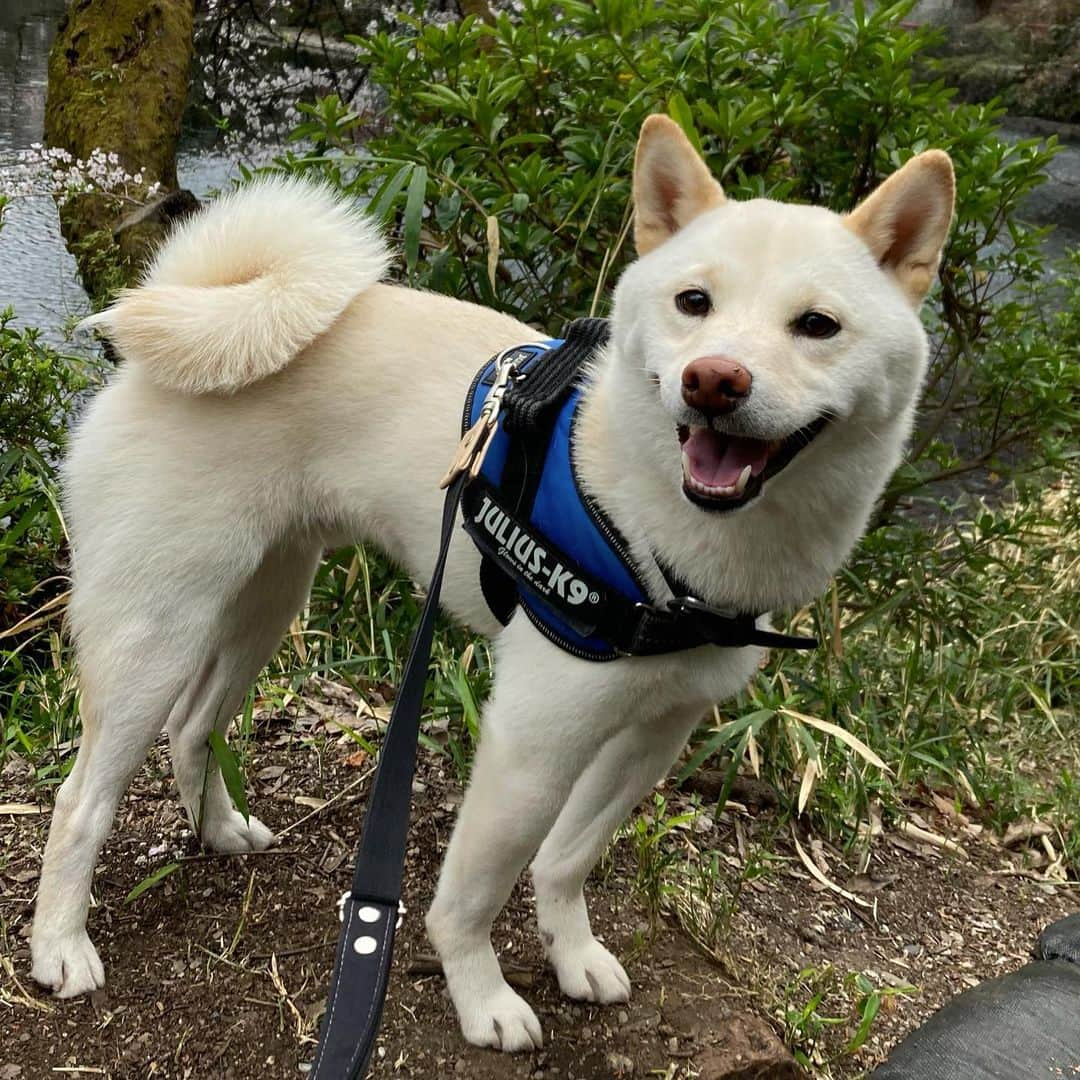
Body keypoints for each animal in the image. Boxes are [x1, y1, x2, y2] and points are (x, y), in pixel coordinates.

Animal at [29, 113, 950, 1049]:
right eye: (694, 303)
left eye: (818, 325)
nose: (714, 380)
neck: (655, 518)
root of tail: (187, 309)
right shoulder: (533, 739)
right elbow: (473, 894)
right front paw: (482, 997)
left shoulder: (654, 734)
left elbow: (568, 859)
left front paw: (571, 953)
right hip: (156, 631)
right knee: (82, 800)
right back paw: (60, 946)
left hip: (265, 600)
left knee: (194, 728)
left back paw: (219, 830)